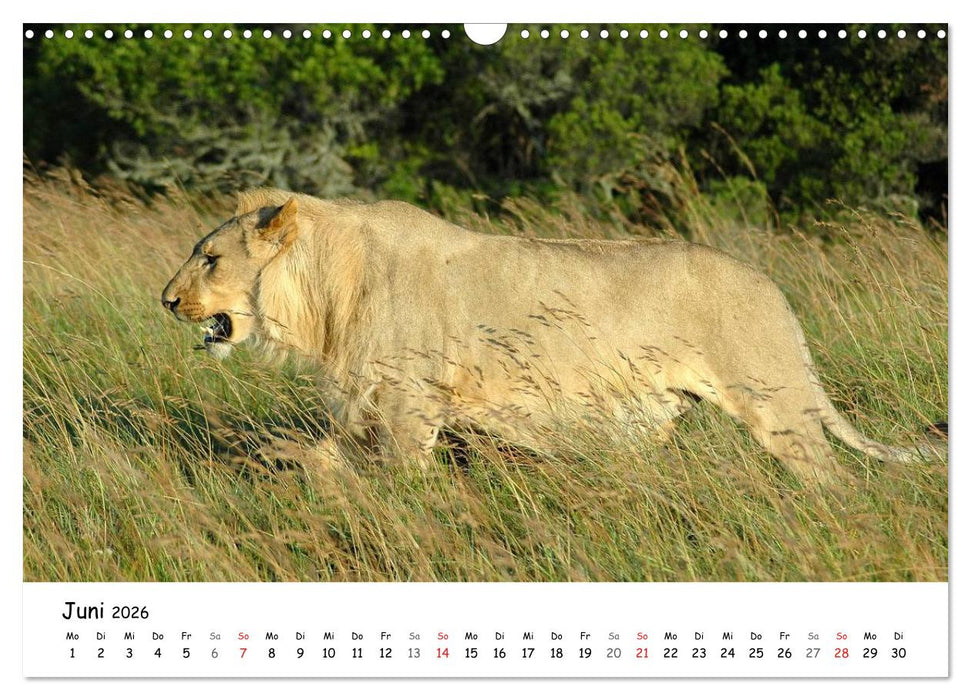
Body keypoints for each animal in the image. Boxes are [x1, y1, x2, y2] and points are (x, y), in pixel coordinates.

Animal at [161, 189, 942, 485]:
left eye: (210, 258)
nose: (166, 301)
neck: (323, 301)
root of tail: (776, 293)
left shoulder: (412, 405)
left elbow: (402, 484)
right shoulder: (365, 408)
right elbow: (322, 459)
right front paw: (276, 471)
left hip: (775, 405)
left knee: (831, 480)